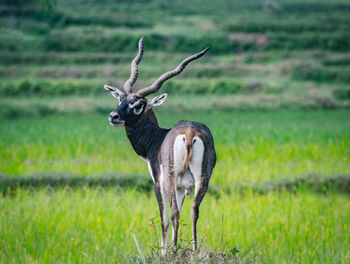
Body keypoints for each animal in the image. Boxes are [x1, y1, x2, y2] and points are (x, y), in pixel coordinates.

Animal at [104, 37, 216, 254]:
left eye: (137, 105)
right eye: (121, 99)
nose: (114, 116)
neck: (157, 138)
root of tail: (189, 133)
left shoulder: (158, 181)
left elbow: (164, 218)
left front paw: (164, 250)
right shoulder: (182, 187)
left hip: (170, 179)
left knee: (173, 213)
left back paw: (172, 250)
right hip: (203, 179)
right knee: (194, 210)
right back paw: (194, 249)